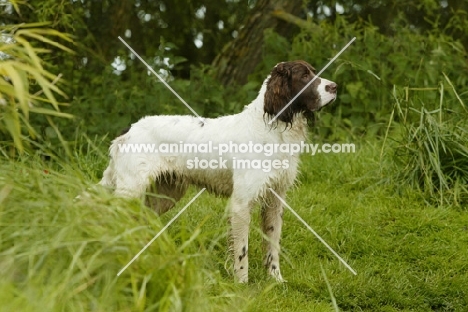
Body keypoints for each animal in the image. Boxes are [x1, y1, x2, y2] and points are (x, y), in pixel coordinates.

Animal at [100, 61, 338, 282]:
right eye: (304, 75)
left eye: (313, 71)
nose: (335, 86)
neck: (272, 130)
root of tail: (129, 129)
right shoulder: (241, 203)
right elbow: (242, 250)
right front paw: (241, 284)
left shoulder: (275, 200)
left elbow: (272, 245)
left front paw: (275, 280)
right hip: (131, 190)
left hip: (165, 194)